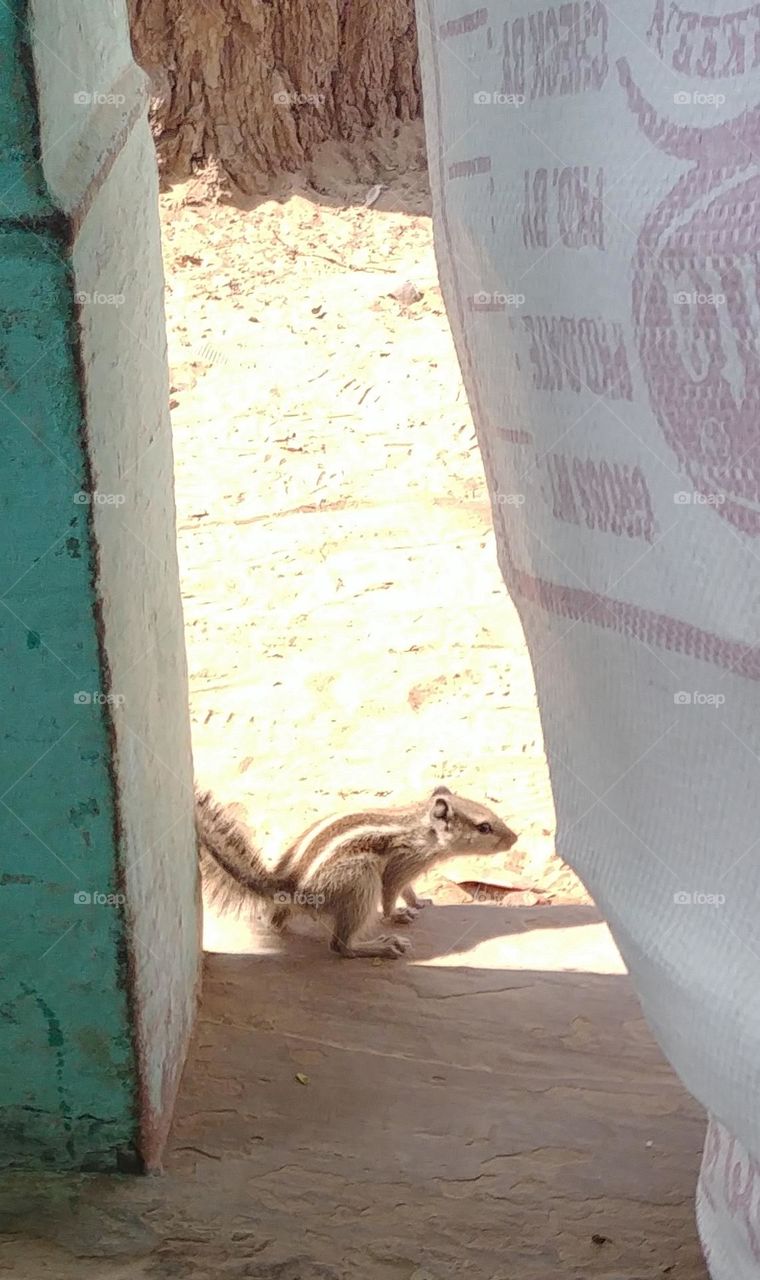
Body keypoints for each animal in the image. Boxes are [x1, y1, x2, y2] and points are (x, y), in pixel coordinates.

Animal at [196, 786, 518, 959]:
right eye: (484, 827)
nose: (515, 838)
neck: (421, 829)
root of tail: (291, 885)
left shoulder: (410, 870)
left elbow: (408, 890)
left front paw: (419, 901)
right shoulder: (401, 865)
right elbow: (391, 893)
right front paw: (397, 914)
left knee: (275, 920)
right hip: (361, 881)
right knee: (340, 946)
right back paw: (380, 947)